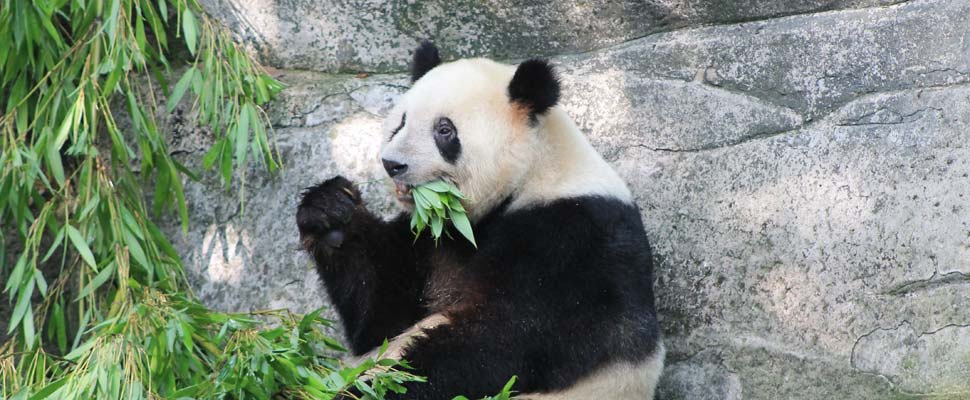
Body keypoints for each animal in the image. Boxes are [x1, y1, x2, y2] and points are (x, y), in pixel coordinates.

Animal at [296, 41, 664, 399]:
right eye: (399, 122)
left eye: (444, 129)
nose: (392, 164)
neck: (530, 175)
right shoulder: (432, 237)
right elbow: (381, 319)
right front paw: (331, 213)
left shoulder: (572, 240)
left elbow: (502, 338)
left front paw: (383, 385)